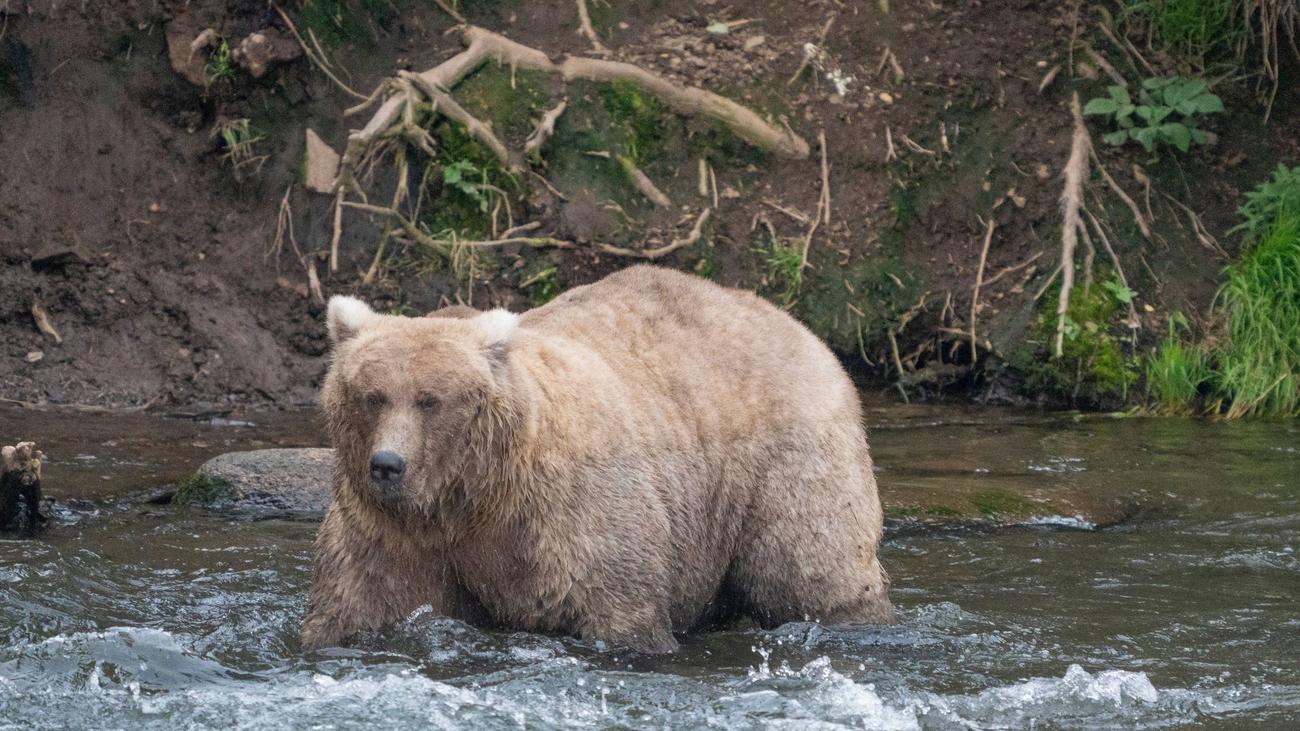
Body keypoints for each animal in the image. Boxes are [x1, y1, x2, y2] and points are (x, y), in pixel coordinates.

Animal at [301, 262, 894, 647]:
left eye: (430, 399)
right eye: (371, 395)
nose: (387, 465)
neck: (472, 496)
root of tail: (795, 324)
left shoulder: (567, 515)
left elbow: (617, 606)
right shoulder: (392, 533)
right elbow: (358, 604)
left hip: (783, 461)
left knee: (810, 568)